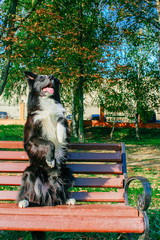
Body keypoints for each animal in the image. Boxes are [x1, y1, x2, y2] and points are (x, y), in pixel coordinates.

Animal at [17, 71, 75, 208]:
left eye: (54, 78)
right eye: (41, 78)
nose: (51, 77)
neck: (47, 101)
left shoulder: (65, 125)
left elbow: (61, 119)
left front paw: (60, 135)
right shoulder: (31, 139)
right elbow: (50, 143)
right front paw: (50, 159)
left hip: (66, 172)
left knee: (61, 189)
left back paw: (67, 199)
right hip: (29, 172)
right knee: (26, 190)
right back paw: (23, 201)